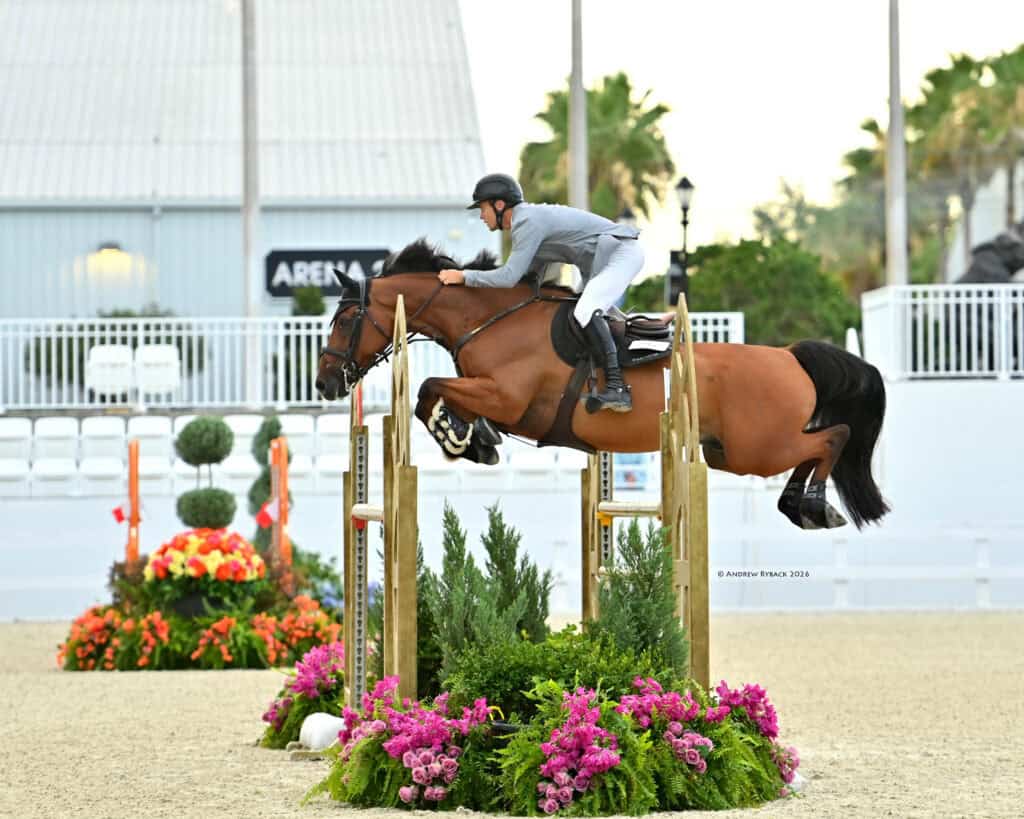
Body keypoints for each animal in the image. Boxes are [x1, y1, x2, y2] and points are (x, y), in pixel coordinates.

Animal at [317, 240, 889, 530]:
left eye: (343, 321)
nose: (324, 383)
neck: (491, 318)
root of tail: (790, 356)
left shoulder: (505, 396)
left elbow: (428, 390)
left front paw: (461, 440)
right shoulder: (488, 392)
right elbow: (434, 393)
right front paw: (476, 441)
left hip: (758, 449)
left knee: (831, 438)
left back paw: (811, 508)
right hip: (727, 451)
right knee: (820, 444)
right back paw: (803, 504)